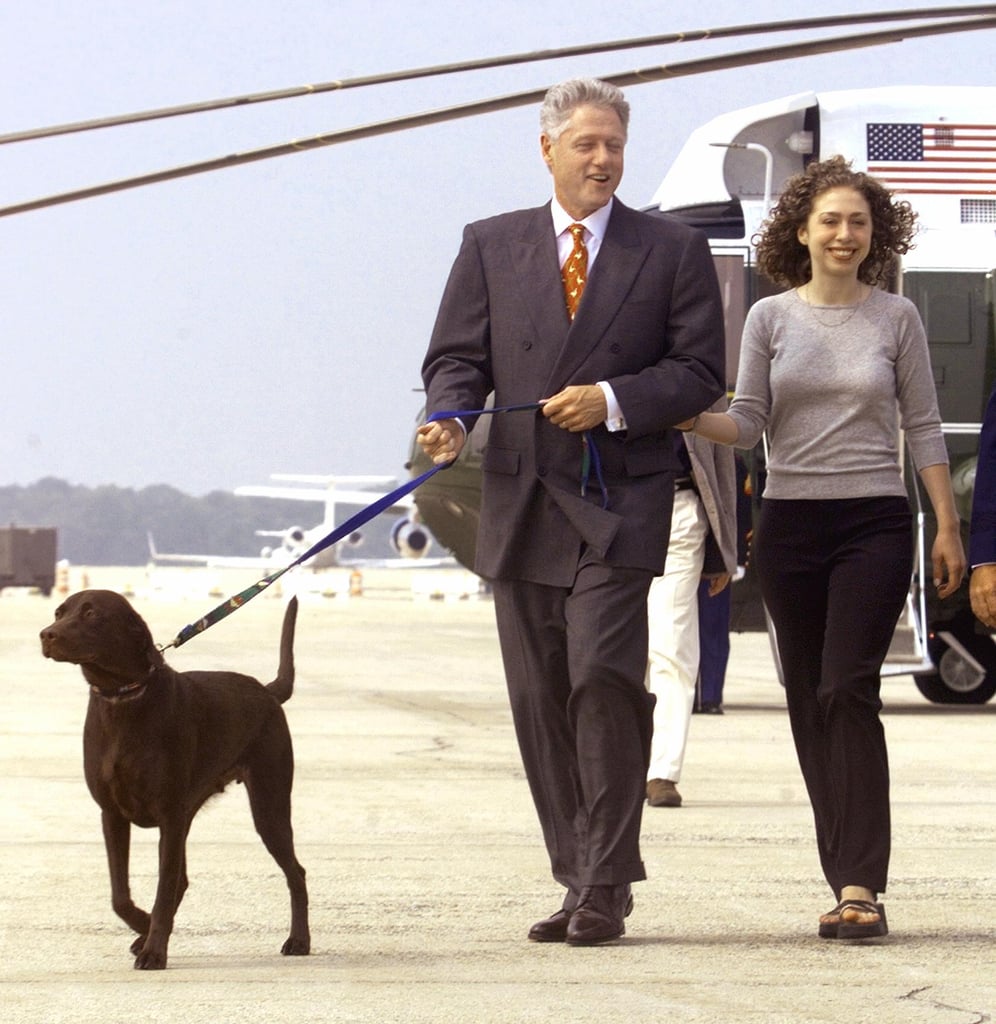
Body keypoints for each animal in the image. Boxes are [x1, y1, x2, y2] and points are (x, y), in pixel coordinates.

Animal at [39, 593, 307, 966]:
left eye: (92, 613)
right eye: (58, 612)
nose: (46, 634)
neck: (123, 696)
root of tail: (268, 692)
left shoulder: (169, 817)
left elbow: (163, 889)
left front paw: (153, 949)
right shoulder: (114, 814)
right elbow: (120, 895)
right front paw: (144, 926)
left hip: (269, 804)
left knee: (296, 873)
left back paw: (299, 940)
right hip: (193, 813)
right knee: (182, 880)